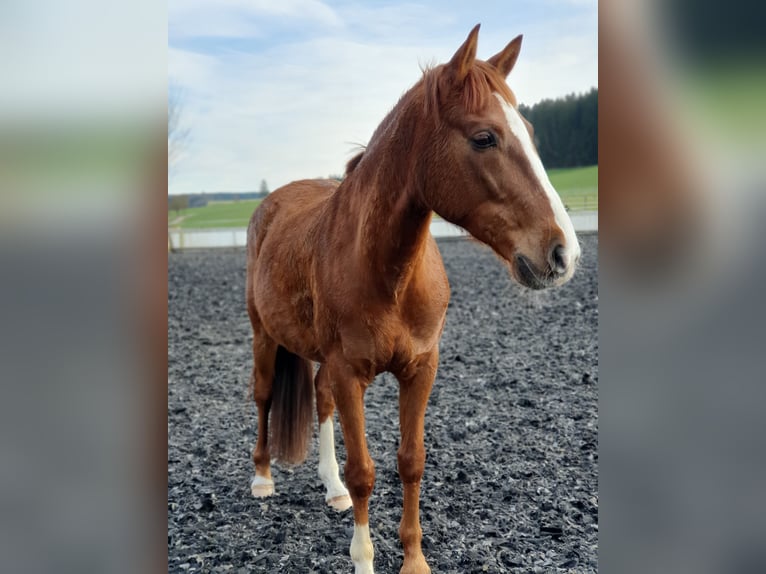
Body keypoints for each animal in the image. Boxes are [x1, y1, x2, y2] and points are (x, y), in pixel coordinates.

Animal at [246, 23, 584, 574]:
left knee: (319, 399)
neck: (389, 275)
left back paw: (332, 489)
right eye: (484, 137)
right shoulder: (349, 373)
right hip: (262, 335)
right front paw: (364, 559)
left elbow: (411, 462)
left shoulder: (421, 368)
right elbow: (365, 471)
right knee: (263, 394)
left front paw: (414, 559)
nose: (563, 253)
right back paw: (261, 479)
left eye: (531, 133)